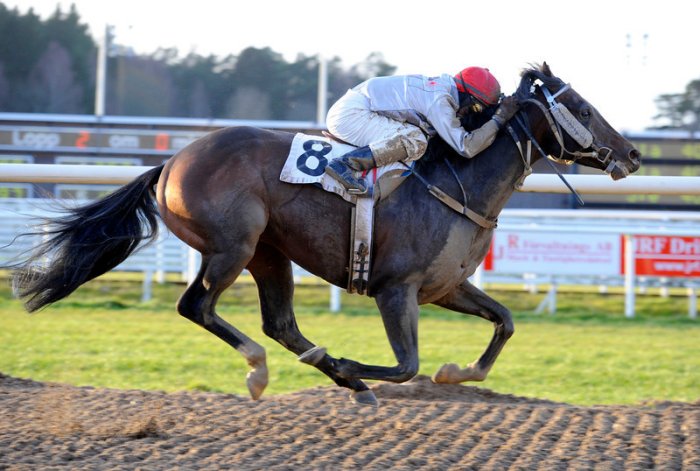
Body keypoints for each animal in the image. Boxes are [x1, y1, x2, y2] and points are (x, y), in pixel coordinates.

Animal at [9, 63, 640, 406]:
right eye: (583, 107)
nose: (633, 154)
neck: (457, 184)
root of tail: (170, 163)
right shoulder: (395, 289)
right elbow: (406, 366)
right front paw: (359, 366)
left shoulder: (444, 287)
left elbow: (504, 322)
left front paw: (453, 373)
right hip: (233, 245)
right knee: (198, 306)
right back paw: (270, 370)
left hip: (270, 253)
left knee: (279, 322)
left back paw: (327, 370)